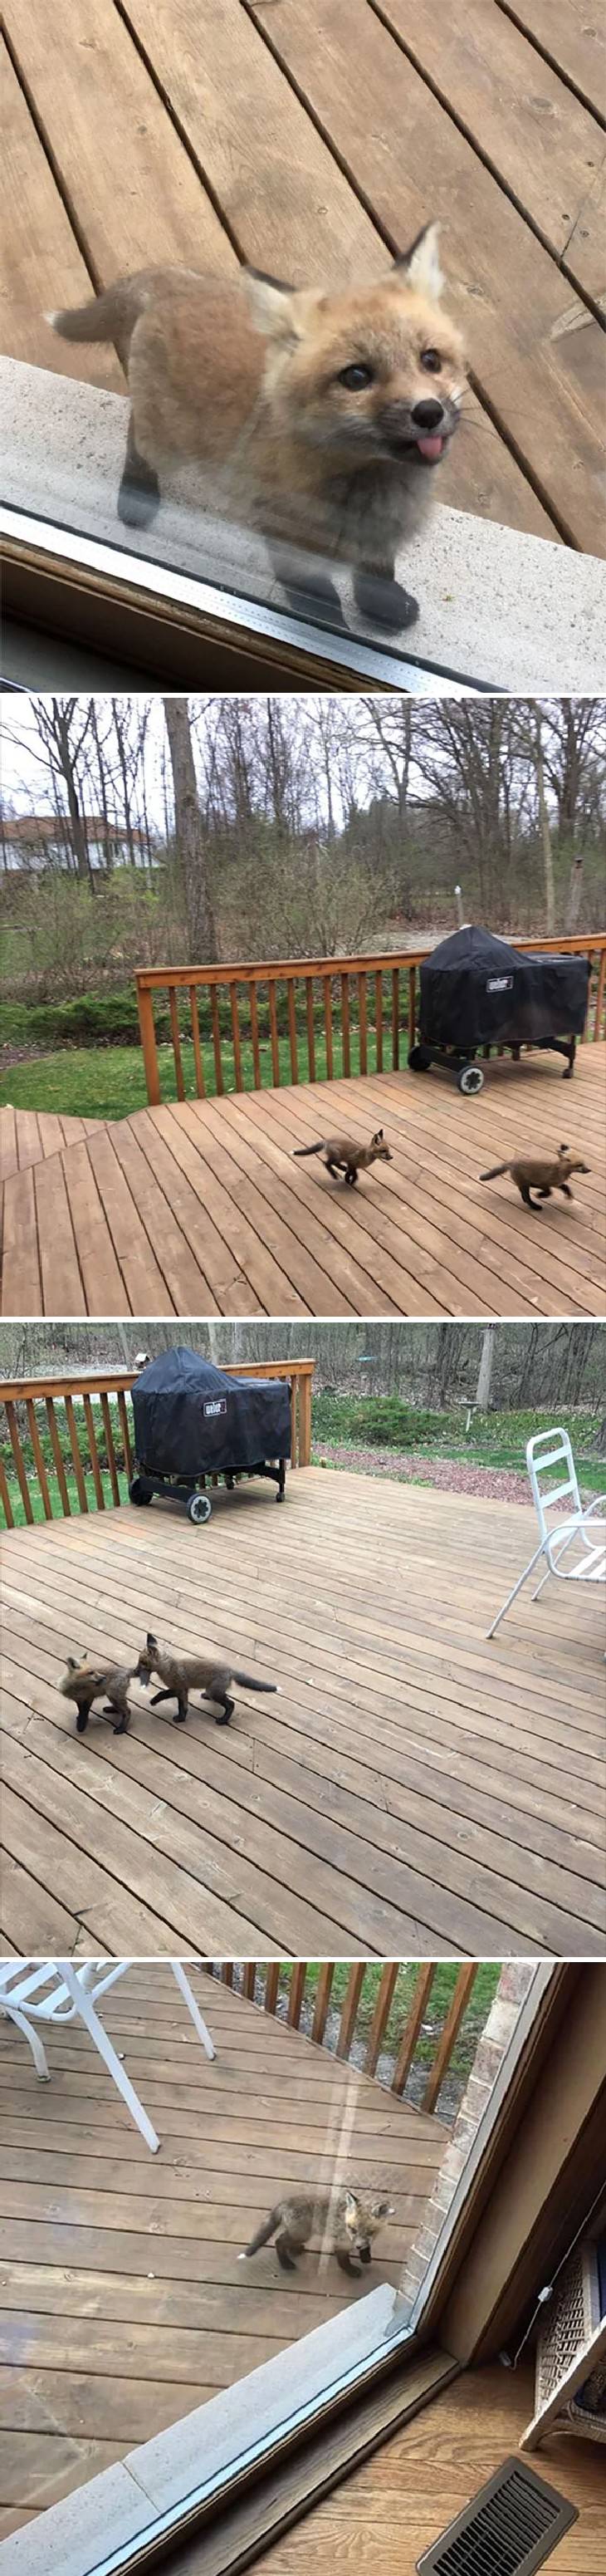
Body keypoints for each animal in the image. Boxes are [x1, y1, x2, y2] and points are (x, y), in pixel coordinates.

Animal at [48, 228, 464, 639]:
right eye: (357, 377)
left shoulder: (380, 537)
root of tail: (174, 281)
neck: (371, 489)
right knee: (137, 435)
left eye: (430, 360)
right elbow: (321, 607)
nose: (429, 412)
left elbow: (377, 573)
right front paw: (329, 635)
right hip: (167, 444)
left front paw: (384, 606)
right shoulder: (288, 543)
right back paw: (138, 493)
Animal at [134, 1627, 280, 1730]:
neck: (169, 1668)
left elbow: (168, 1697)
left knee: (231, 1704)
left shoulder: (180, 1689)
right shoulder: (182, 1691)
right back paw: (207, 1697)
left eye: (142, 1662)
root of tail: (230, 1669)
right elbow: (182, 1706)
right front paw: (181, 1717)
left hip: (215, 1692)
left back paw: (223, 1720)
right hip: (214, 1691)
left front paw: (178, 1717)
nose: (135, 1671)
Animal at [238, 2195, 394, 2277]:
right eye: (353, 2229)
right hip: (302, 2234)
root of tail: (286, 2201)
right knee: (279, 2241)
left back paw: (295, 2250)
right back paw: (285, 2263)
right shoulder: (341, 2243)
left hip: (298, 2234)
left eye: (369, 2232)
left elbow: (367, 2247)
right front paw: (351, 2270)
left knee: (284, 2240)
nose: (357, 2246)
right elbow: (343, 2260)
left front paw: (365, 2256)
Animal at [479, 1143, 590, 1210]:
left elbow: (566, 1187)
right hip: (524, 1183)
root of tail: (512, 1162)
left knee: (524, 1195)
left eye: (584, 1164)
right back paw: (535, 1207)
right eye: (579, 1165)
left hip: (524, 1183)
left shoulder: (556, 1183)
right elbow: (549, 1192)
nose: (589, 1170)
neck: (559, 1171)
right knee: (526, 1197)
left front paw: (568, 1195)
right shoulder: (543, 1183)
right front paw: (540, 1195)